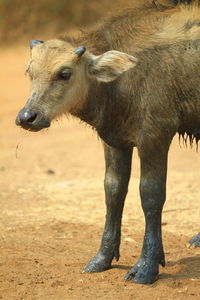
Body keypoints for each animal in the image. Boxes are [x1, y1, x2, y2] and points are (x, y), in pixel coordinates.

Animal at [16, 1, 200, 284]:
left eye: (65, 73)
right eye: (30, 71)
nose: (27, 117)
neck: (120, 83)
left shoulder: (155, 136)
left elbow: (151, 195)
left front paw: (147, 266)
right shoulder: (114, 140)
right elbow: (113, 192)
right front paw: (102, 258)